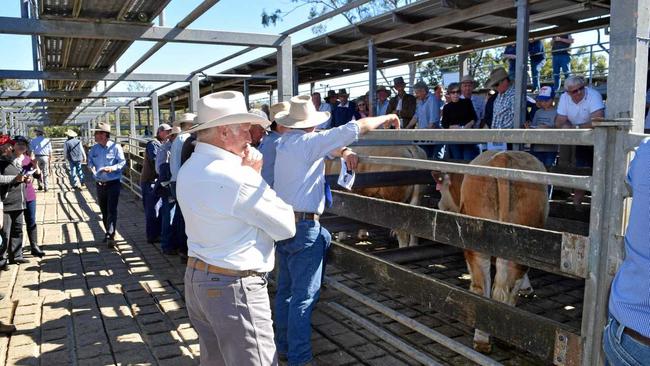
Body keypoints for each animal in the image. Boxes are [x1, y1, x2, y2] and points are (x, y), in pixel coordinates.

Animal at [430, 150, 548, 354]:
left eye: (441, 189)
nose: (439, 204)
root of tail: (503, 157)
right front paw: (528, 287)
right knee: (504, 284)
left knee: (484, 286)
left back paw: (483, 339)